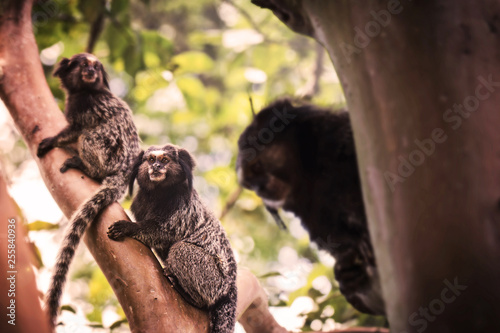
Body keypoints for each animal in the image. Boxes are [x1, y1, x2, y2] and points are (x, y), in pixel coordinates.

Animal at [37, 53, 141, 326]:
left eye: (95, 67)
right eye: (84, 65)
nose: (91, 72)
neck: (84, 90)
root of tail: (123, 174)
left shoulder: (85, 107)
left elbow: (75, 129)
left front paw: (53, 140)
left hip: (107, 152)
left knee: (90, 135)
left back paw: (84, 165)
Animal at [107, 144, 238, 332]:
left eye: (164, 160)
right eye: (151, 160)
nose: (156, 167)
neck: (158, 194)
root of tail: (231, 285)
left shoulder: (182, 206)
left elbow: (165, 233)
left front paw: (128, 227)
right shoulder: (140, 204)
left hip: (214, 280)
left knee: (180, 249)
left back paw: (191, 297)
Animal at [236, 98, 384, 314]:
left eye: (256, 167)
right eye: (250, 184)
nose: (260, 189)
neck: (311, 171)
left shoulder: (339, 135)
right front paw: (351, 271)